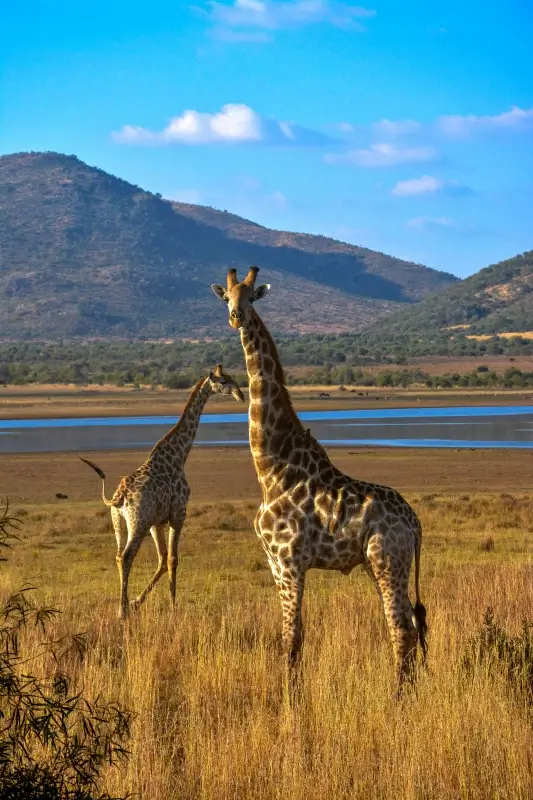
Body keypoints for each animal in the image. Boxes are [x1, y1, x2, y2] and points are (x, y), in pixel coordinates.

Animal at [82, 366, 244, 620]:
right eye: (224, 381)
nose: (241, 394)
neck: (179, 456)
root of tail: (119, 496)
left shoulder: (157, 522)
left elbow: (162, 559)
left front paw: (138, 601)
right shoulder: (178, 514)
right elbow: (173, 559)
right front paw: (174, 605)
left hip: (119, 521)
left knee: (118, 555)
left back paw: (125, 605)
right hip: (137, 522)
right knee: (127, 556)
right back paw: (121, 611)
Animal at [212, 268, 424, 692]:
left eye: (251, 297)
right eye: (226, 296)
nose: (235, 316)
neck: (272, 467)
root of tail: (415, 523)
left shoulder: (290, 560)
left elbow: (291, 638)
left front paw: (289, 700)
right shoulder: (274, 562)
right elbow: (291, 636)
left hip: (387, 560)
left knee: (402, 629)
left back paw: (397, 698)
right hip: (384, 563)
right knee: (409, 624)